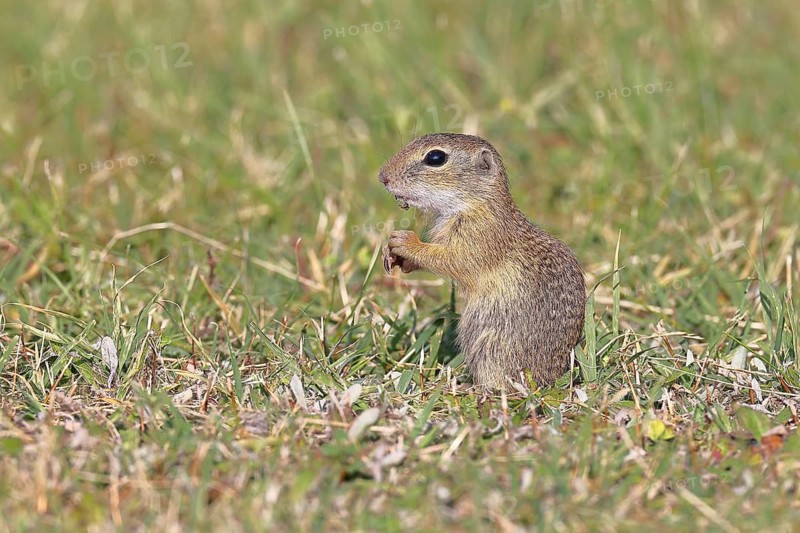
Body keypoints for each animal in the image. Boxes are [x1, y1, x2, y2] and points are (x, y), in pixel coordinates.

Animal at [378, 133, 585, 389]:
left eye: (435, 158)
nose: (383, 177)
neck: (475, 203)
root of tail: (550, 381)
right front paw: (397, 257)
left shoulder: (477, 237)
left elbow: (451, 259)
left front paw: (405, 241)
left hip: (491, 348)